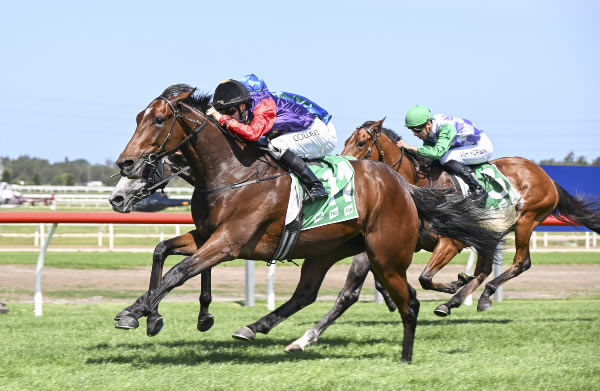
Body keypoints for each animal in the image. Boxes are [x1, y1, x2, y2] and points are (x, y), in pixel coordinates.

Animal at [106, 84, 502, 362]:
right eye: (139, 117)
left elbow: (180, 272)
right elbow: (162, 251)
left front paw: (137, 311)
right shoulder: (206, 235)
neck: (231, 173)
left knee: (409, 297)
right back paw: (261, 329)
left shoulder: (229, 240)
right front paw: (148, 315)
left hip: (384, 253)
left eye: (158, 120)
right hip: (326, 250)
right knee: (309, 294)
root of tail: (401, 186)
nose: (125, 165)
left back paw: (417, 340)